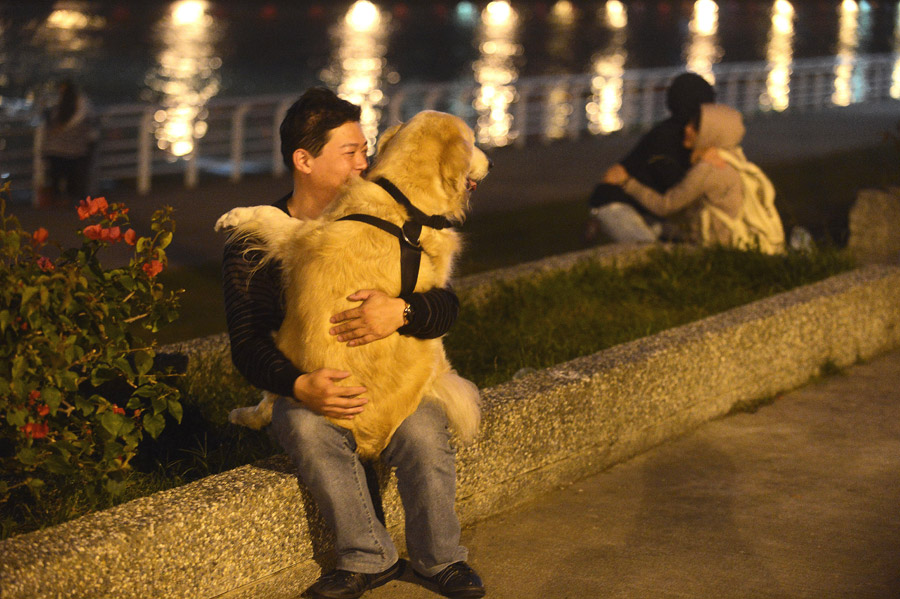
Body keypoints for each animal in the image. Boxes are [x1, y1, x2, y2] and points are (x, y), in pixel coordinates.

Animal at [214, 111, 488, 460]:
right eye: (474, 141)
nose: (491, 163)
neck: (405, 204)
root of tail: (366, 444)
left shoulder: (301, 236)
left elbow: (271, 215)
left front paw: (234, 216)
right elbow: (270, 212)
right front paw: (233, 217)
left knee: (269, 403)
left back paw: (244, 415)